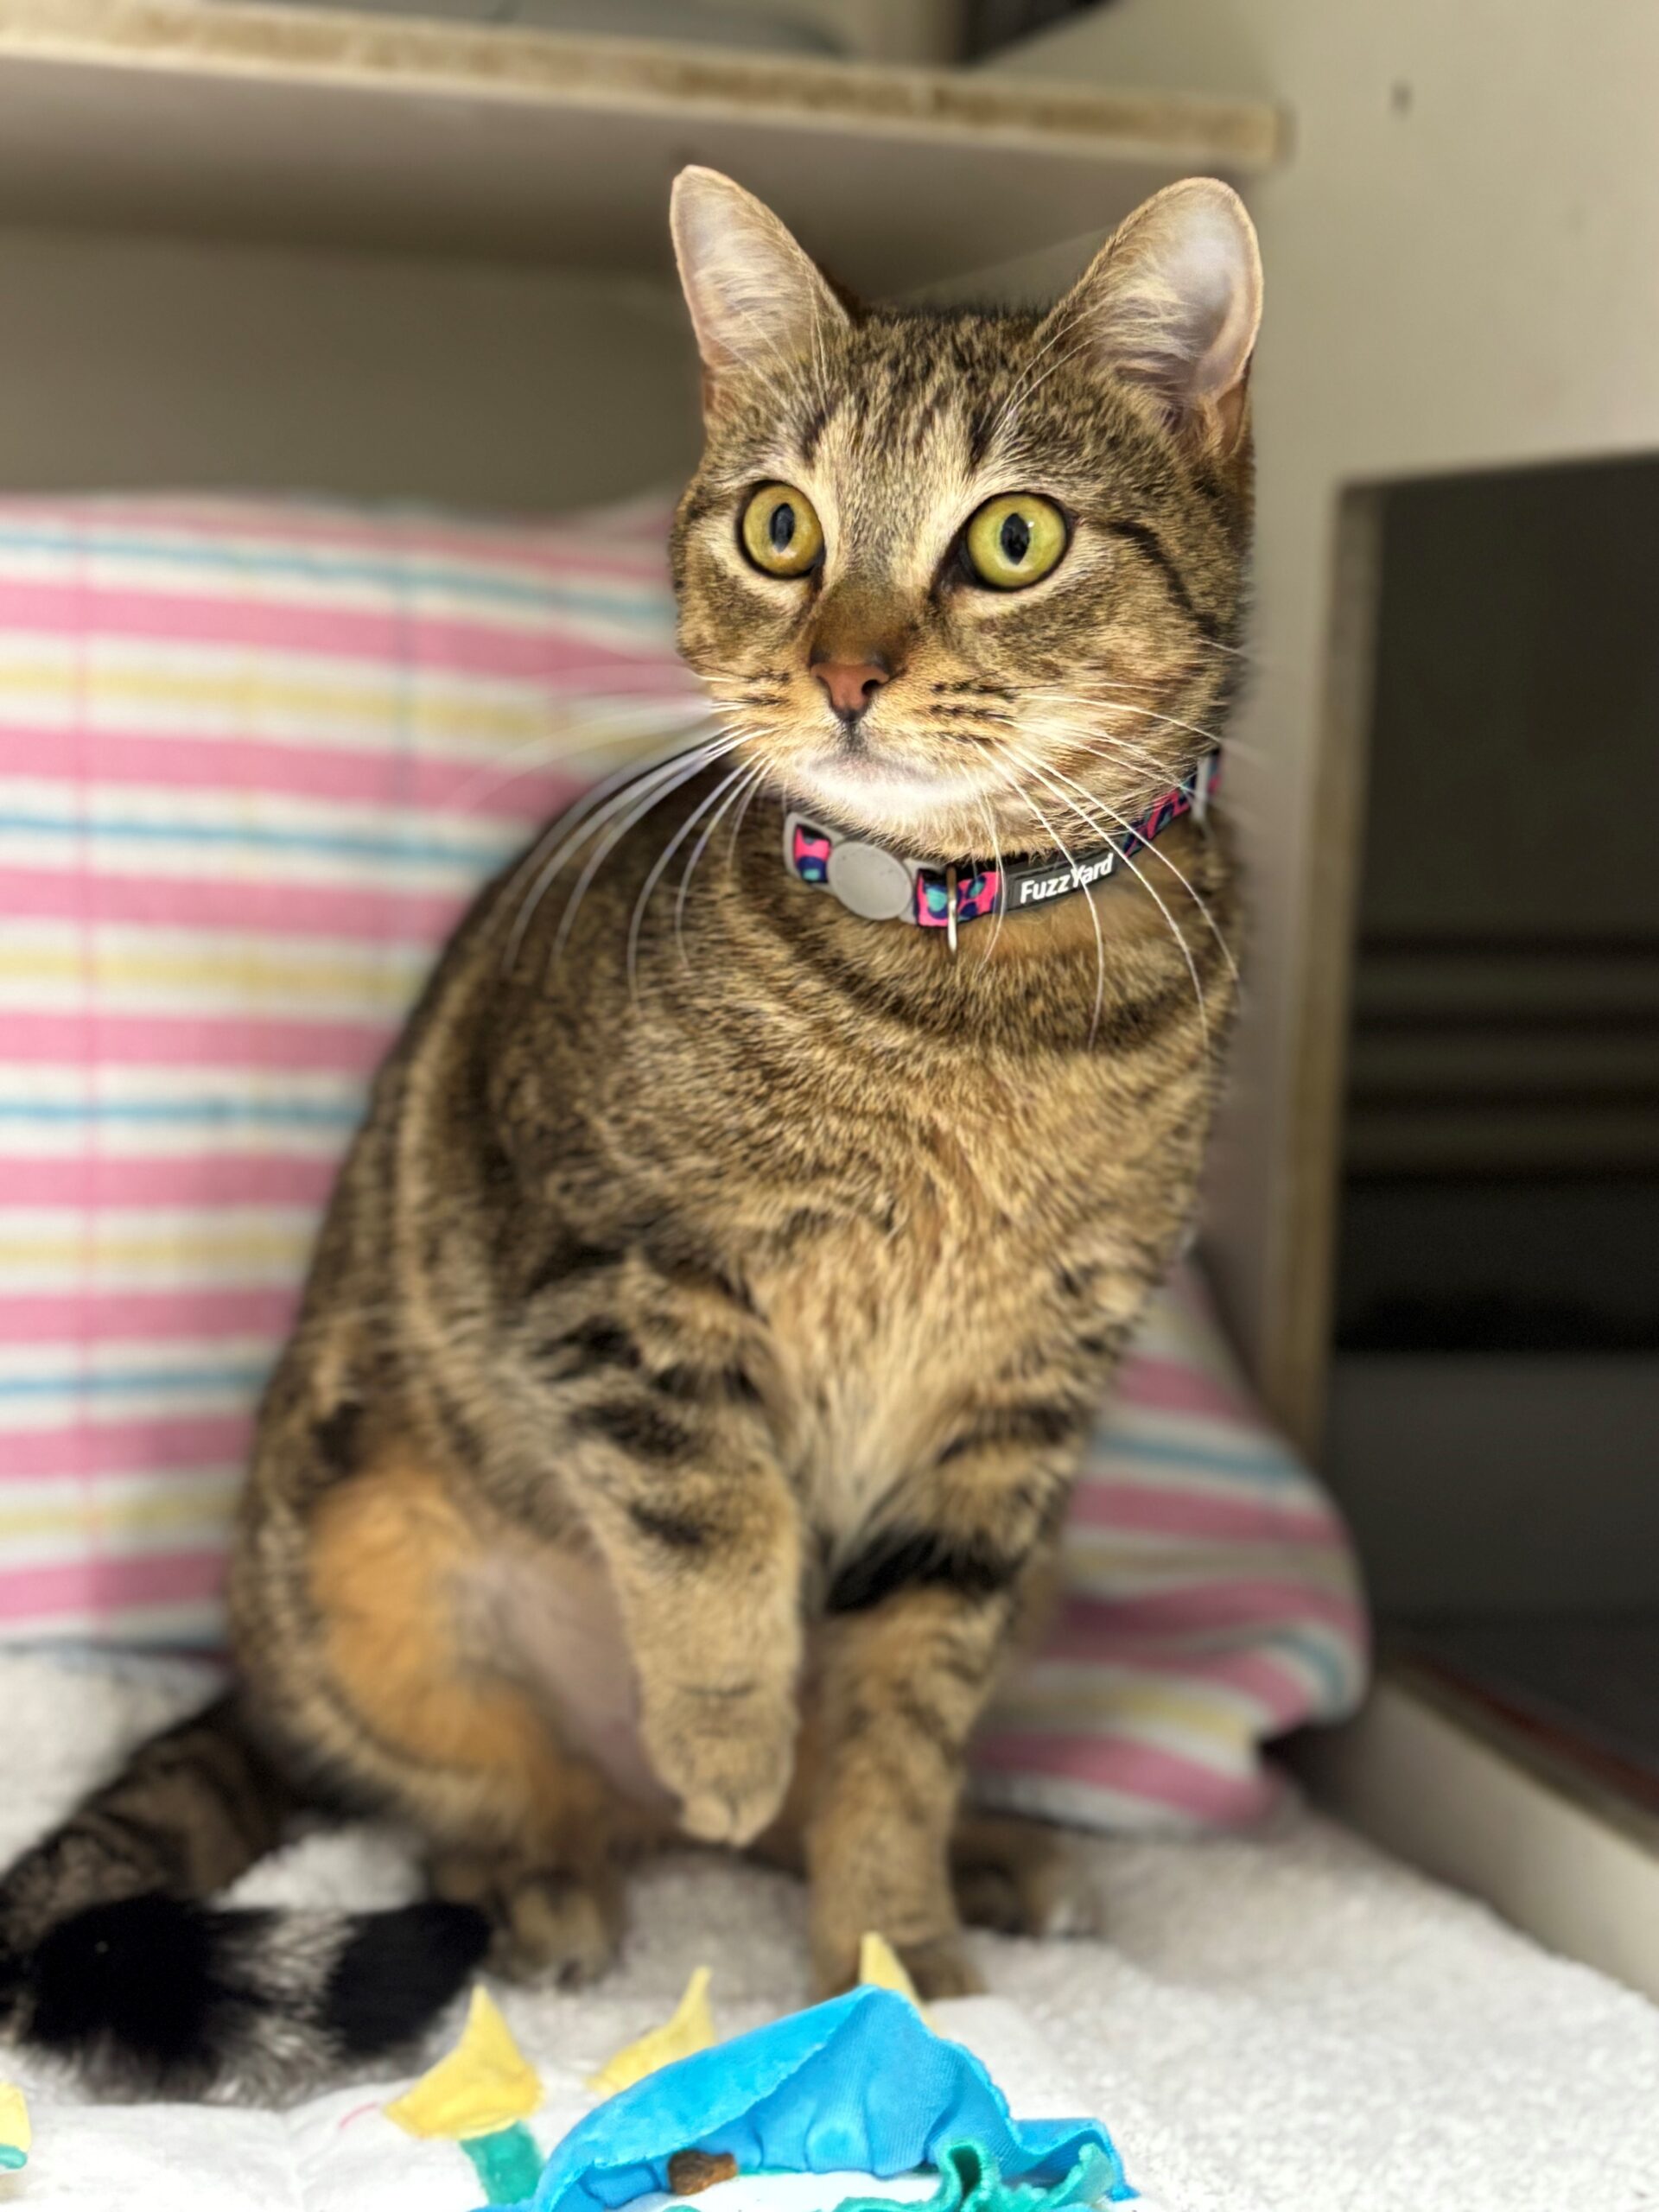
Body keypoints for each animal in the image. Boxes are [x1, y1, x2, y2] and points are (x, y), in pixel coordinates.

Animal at [0, 165, 1260, 2099]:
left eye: (1013, 541)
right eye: (779, 527)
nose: (844, 672)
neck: (972, 993)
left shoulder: (1012, 1421)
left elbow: (900, 1717)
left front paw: (900, 1951)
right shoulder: (616, 1288)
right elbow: (717, 1537)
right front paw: (733, 1728)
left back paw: (977, 1845)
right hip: (365, 1555)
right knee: (489, 1794)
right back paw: (548, 1875)